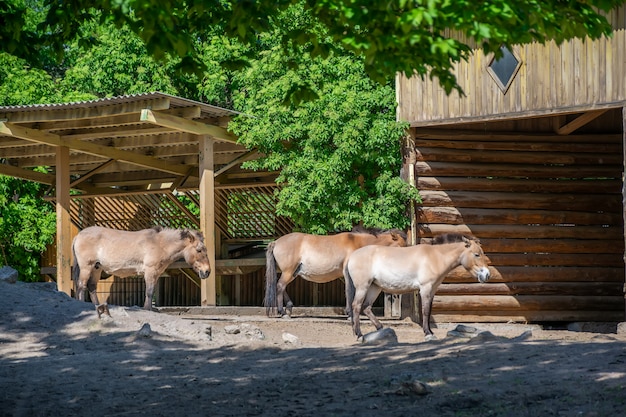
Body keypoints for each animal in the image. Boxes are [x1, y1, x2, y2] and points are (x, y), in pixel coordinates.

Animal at [72, 226, 211, 316]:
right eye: (199, 250)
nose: (207, 271)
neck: (160, 244)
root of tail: (78, 236)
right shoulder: (150, 271)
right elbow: (149, 292)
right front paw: (147, 309)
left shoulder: (156, 274)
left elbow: (151, 291)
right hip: (86, 267)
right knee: (81, 286)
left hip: (96, 268)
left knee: (91, 287)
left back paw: (98, 307)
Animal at [344, 232, 490, 340]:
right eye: (477, 254)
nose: (487, 275)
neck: (435, 257)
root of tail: (352, 256)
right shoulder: (425, 288)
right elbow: (425, 311)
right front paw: (428, 334)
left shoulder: (432, 290)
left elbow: (429, 310)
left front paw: (430, 331)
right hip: (363, 287)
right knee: (356, 306)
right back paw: (359, 335)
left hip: (375, 287)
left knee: (366, 307)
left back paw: (380, 329)